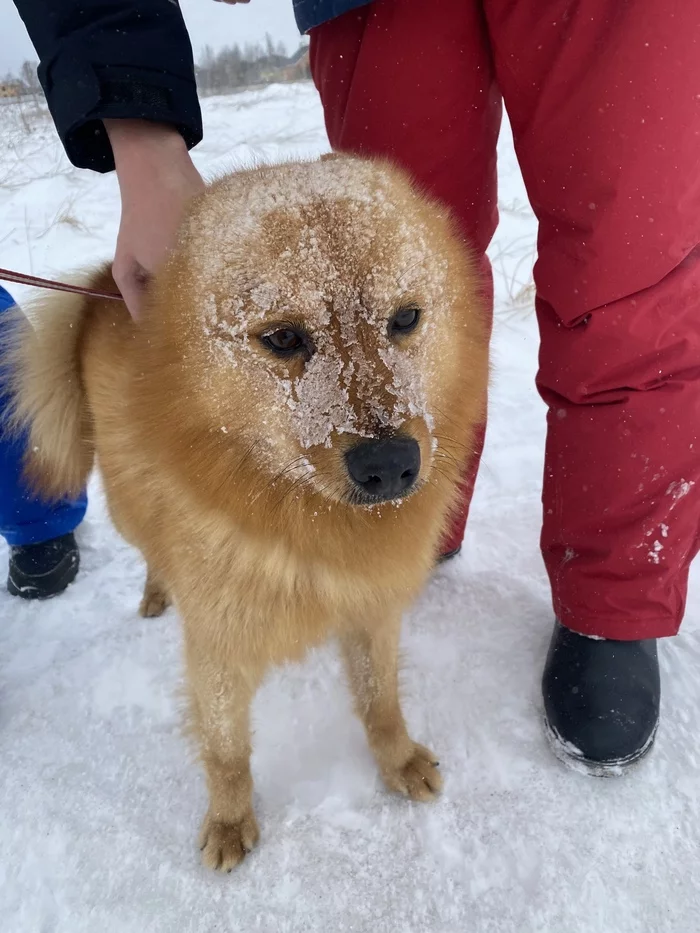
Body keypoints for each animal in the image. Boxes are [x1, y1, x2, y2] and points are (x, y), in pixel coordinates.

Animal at [2, 157, 490, 872]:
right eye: (283, 337)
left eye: (406, 318)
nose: (391, 465)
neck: (301, 517)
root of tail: (99, 293)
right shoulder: (218, 646)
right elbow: (226, 750)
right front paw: (231, 820)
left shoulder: (372, 610)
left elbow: (381, 702)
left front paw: (397, 760)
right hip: (123, 507)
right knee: (146, 547)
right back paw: (156, 590)